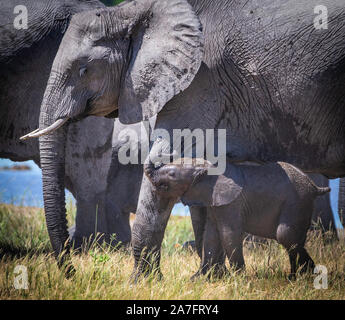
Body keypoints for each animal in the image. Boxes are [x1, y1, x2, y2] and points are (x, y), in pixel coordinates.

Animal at [144, 159, 330, 278]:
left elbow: (229, 234)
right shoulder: (214, 200)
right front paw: (200, 280)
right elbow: (211, 235)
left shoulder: (232, 201)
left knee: (285, 235)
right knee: (293, 241)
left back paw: (309, 276)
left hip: (296, 203)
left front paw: (239, 279)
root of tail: (314, 187)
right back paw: (295, 278)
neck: (208, 167)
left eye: (171, 173)